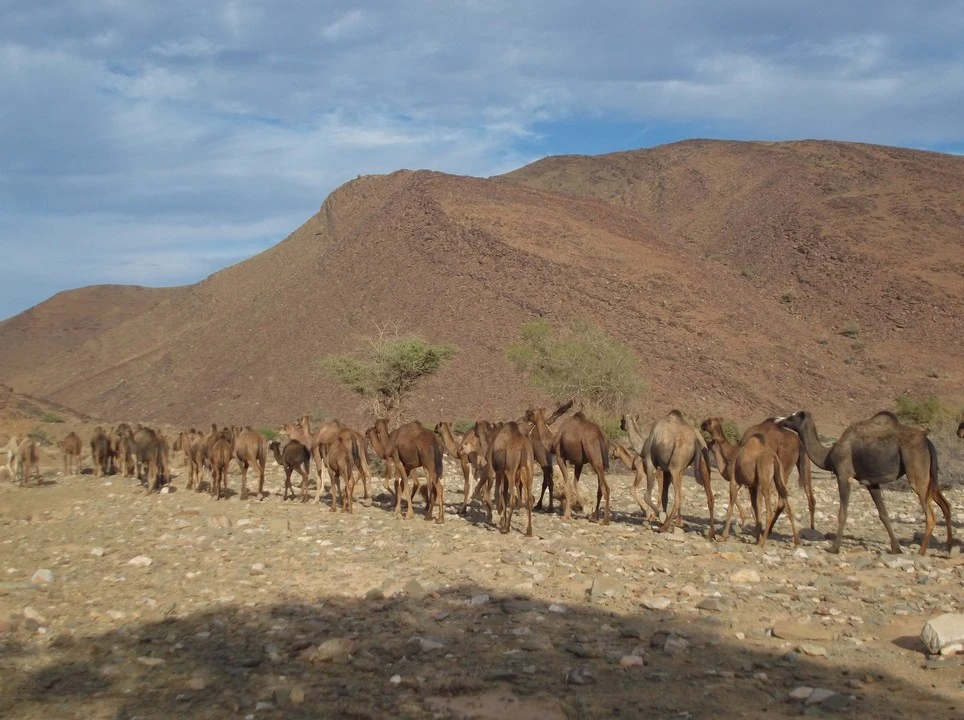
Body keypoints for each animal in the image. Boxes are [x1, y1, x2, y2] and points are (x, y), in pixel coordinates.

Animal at [772, 410, 952, 556]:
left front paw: (834, 548)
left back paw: (921, 551)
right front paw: (896, 548)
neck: (829, 455)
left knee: (930, 515)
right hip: (929, 476)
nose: (778, 420)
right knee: (945, 505)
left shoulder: (844, 475)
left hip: (916, 472)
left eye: (793, 416)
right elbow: (884, 514)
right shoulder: (871, 483)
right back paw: (948, 549)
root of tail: (928, 442)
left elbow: (842, 513)